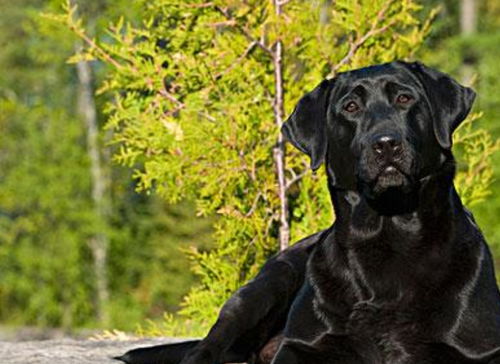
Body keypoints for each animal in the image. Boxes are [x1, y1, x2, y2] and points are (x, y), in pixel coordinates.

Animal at [115, 61, 500, 362]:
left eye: (405, 99)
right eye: (350, 107)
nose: (386, 144)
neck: (387, 234)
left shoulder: (480, 349)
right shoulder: (303, 345)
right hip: (263, 288)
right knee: (205, 349)